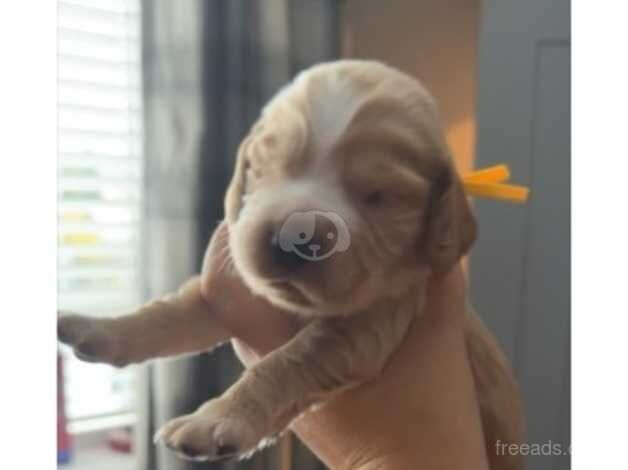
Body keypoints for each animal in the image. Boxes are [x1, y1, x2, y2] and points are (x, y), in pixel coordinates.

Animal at [59, 60, 524, 468]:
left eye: (379, 196)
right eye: (264, 168)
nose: (297, 232)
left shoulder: (368, 323)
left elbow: (284, 363)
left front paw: (217, 420)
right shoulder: (223, 296)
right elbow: (168, 315)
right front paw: (99, 328)